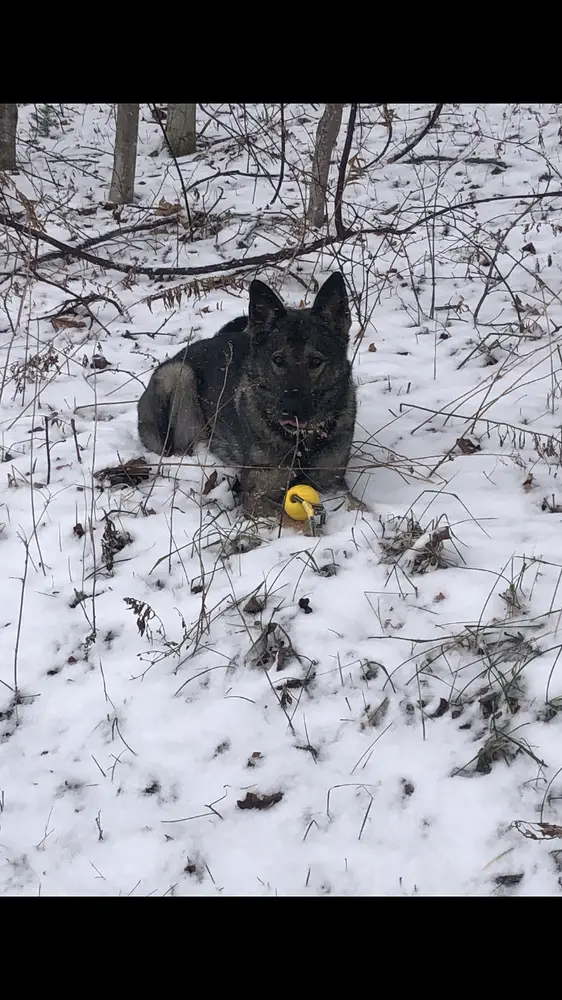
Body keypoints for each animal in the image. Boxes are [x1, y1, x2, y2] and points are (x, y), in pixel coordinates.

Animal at [138, 274, 360, 516]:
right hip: (178, 375)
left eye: (316, 362)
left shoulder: (332, 484)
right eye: (278, 360)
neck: (301, 444)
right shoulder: (258, 497)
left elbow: (357, 506)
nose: (290, 411)